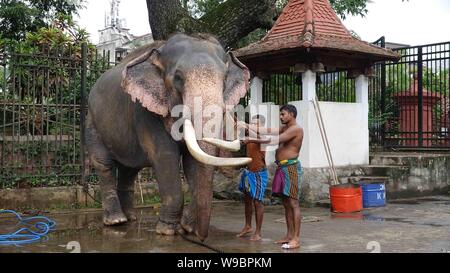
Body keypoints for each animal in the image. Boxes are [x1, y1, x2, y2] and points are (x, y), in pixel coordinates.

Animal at [86, 33, 251, 239]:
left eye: (225, 79)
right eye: (178, 78)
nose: (201, 236)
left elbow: (191, 161)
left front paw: (186, 228)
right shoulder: (146, 113)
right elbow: (166, 157)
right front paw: (166, 230)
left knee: (129, 169)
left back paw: (131, 218)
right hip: (92, 122)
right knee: (104, 164)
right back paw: (116, 221)